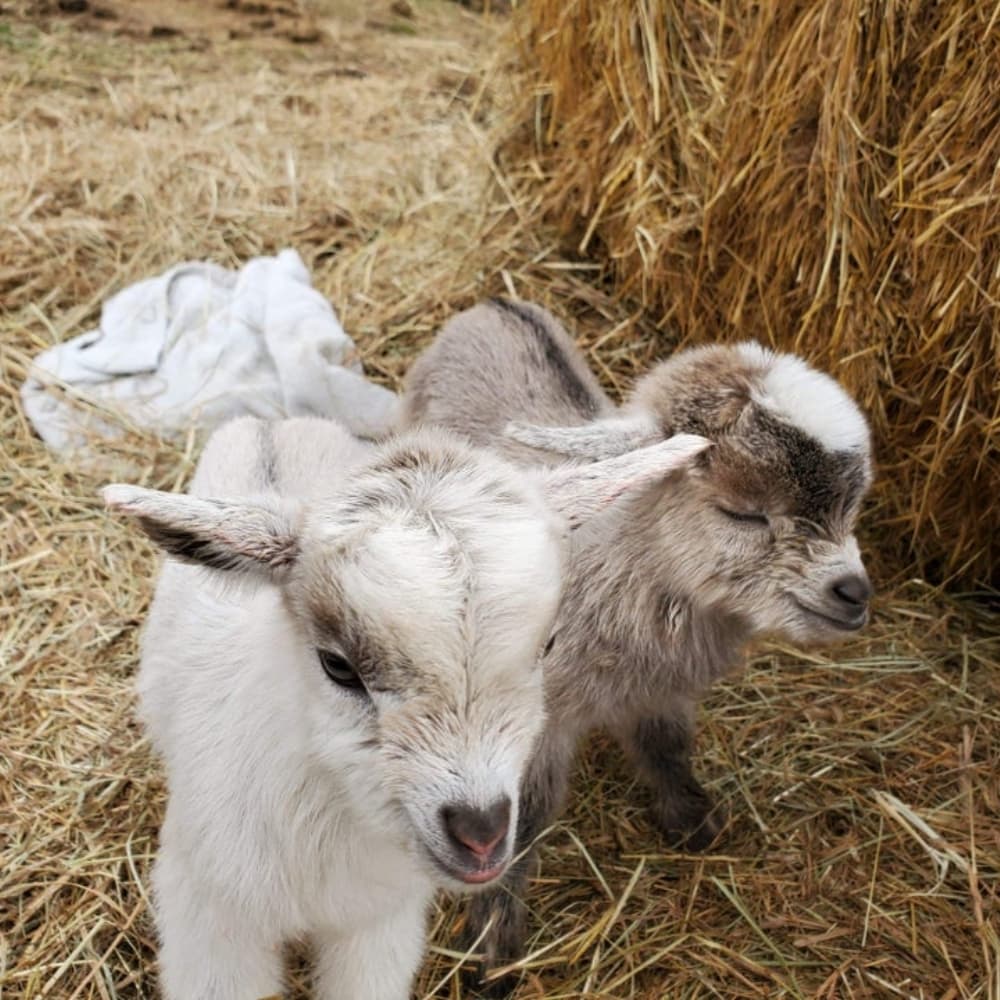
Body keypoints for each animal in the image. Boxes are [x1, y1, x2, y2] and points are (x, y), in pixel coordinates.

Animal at [105, 410, 708, 996]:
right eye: (337, 665)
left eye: (549, 644)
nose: (481, 834)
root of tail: (270, 422)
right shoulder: (212, 925)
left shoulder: (378, 927)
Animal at [402, 298, 872, 992]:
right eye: (742, 512)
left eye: (852, 508)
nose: (852, 593)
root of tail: (495, 302)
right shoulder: (532, 721)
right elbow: (520, 819)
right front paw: (493, 947)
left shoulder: (662, 691)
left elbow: (667, 748)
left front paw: (695, 822)